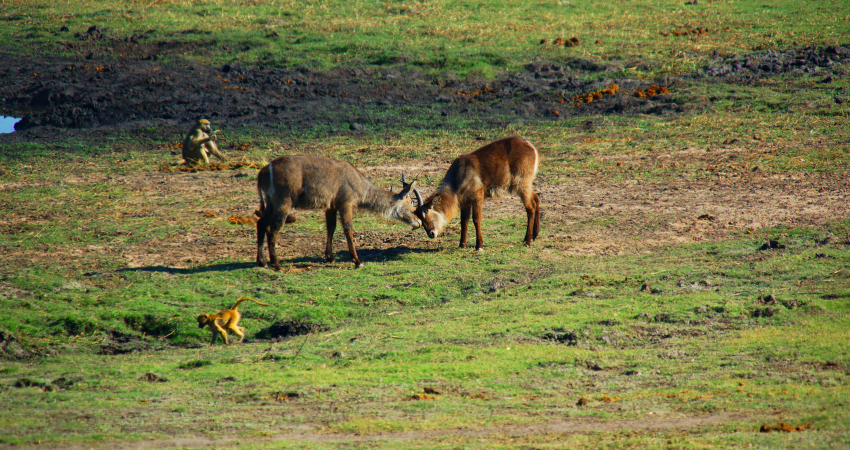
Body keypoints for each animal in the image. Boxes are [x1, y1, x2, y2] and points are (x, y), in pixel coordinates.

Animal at [255, 156, 420, 268]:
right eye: (411, 202)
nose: (418, 221)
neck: (360, 184)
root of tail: (262, 172)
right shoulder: (345, 202)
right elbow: (348, 228)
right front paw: (357, 261)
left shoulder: (331, 205)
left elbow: (331, 228)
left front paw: (330, 257)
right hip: (284, 202)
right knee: (273, 229)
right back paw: (276, 264)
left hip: (270, 202)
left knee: (260, 223)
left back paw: (262, 261)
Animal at [412, 135, 544, 251]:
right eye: (419, 218)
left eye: (426, 213)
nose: (431, 234)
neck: (458, 177)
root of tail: (531, 146)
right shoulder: (464, 201)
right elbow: (464, 221)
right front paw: (462, 244)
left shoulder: (477, 196)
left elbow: (476, 219)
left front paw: (479, 246)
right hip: (525, 184)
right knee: (536, 199)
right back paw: (534, 235)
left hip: (521, 183)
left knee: (530, 208)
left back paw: (527, 241)